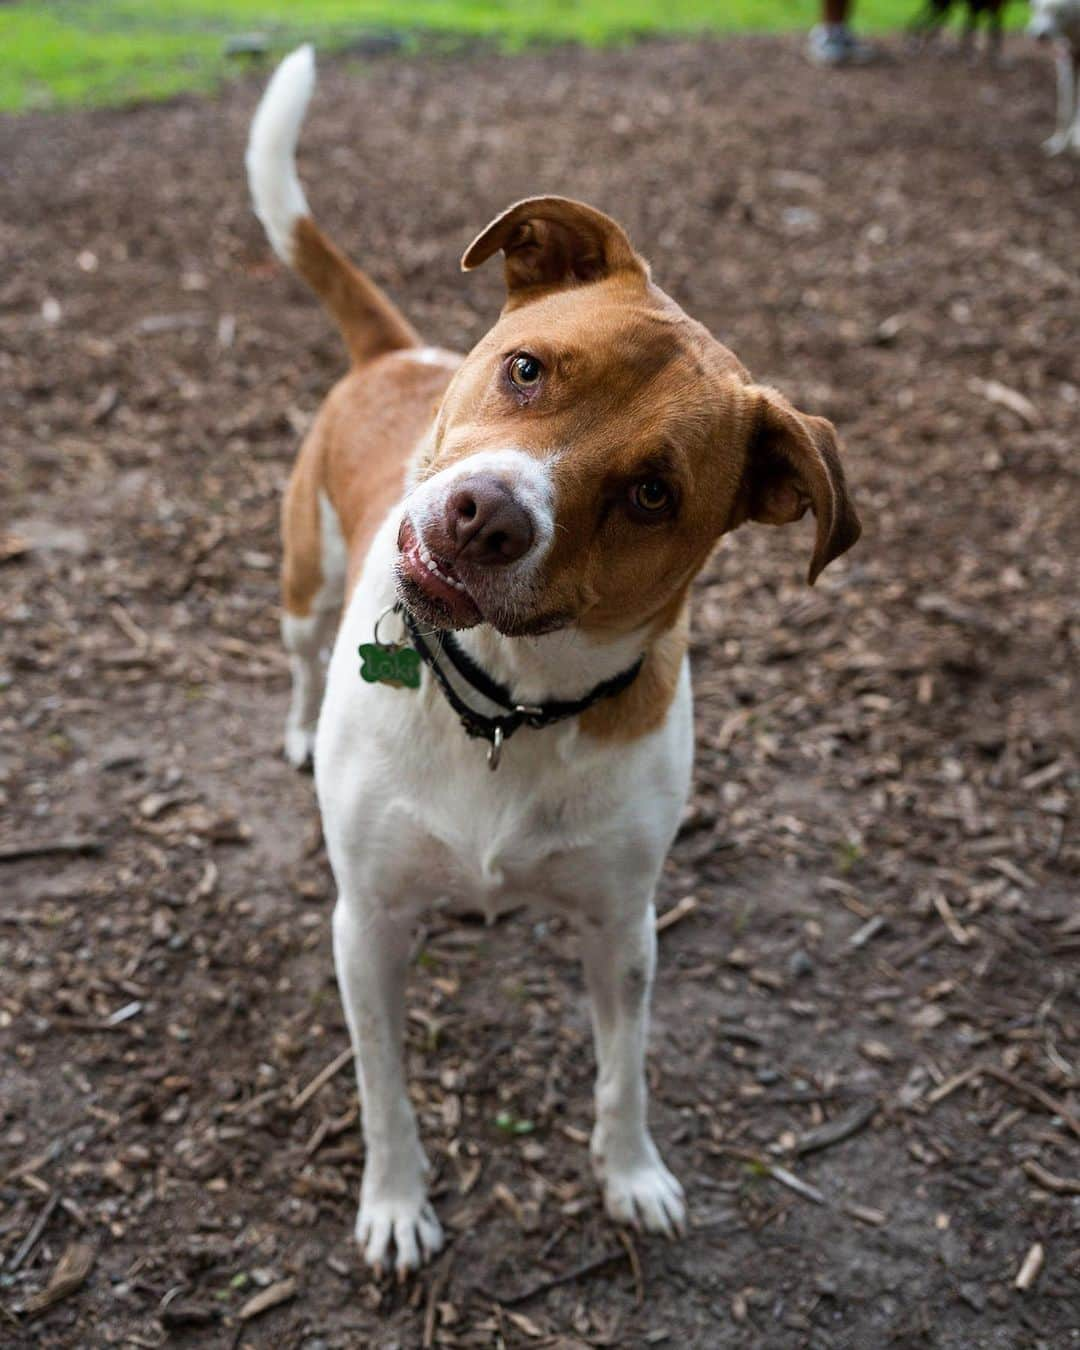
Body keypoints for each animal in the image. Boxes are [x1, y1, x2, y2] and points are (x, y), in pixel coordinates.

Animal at [244, 49, 858, 1274]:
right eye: (528, 368)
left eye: (653, 493)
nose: (485, 515)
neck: (503, 702)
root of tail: (399, 351)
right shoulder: (365, 925)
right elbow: (384, 1089)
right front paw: (396, 1203)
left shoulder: (624, 926)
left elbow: (625, 1071)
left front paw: (632, 1176)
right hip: (304, 576)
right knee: (294, 649)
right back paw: (293, 729)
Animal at [1031, 0, 1080, 151]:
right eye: (1037, 9)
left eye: (1057, 12)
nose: (1039, 36)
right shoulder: (1065, 60)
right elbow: (1064, 107)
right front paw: (1058, 142)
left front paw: (1076, 138)